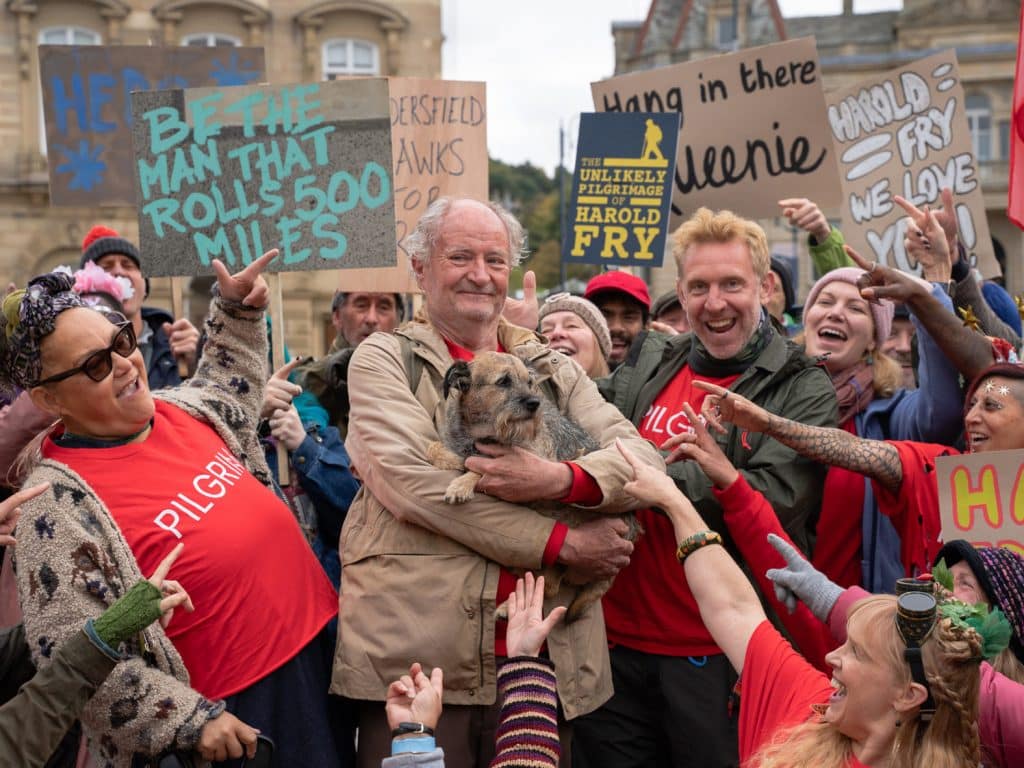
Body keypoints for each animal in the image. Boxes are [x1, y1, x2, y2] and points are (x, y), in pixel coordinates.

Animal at [425, 352, 638, 622]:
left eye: (529, 381)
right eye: (503, 381)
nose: (535, 403)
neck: (482, 433)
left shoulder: (536, 463)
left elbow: (484, 466)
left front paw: (461, 484)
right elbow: (433, 448)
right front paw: (451, 459)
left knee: (550, 585)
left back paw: (508, 605)